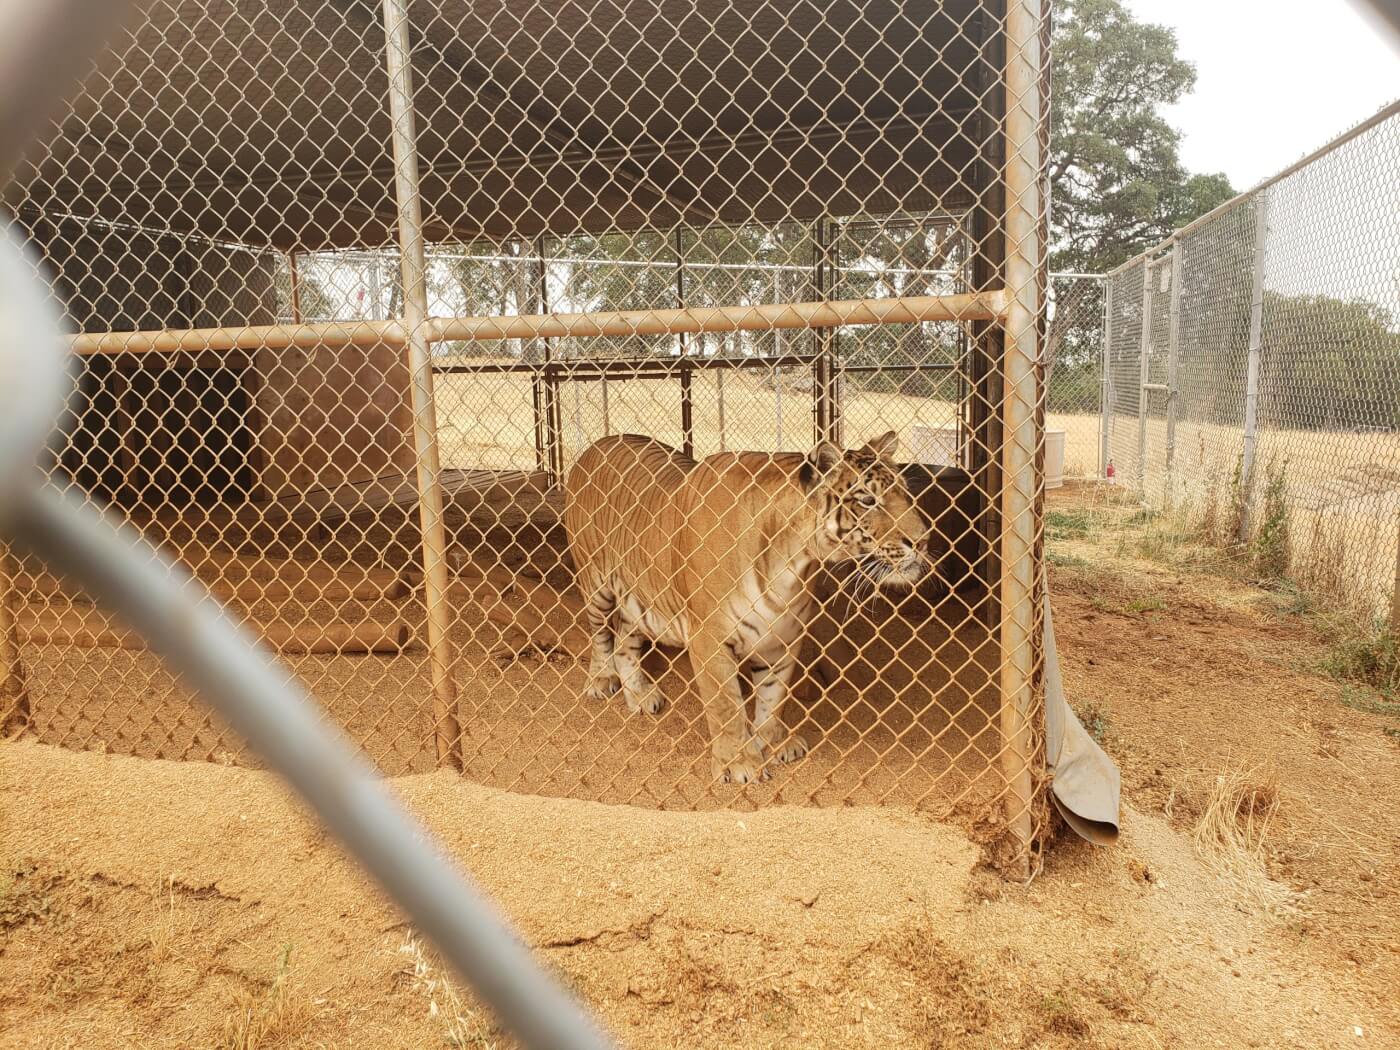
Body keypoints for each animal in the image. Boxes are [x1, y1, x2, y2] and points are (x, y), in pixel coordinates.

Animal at [557, 431, 929, 784]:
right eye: (868, 501)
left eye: (905, 494)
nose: (923, 541)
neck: (793, 562)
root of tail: (597, 444)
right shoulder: (709, 638)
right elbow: (726, 706)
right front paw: (738, 763)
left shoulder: (783, 637)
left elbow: (773, 697)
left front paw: (773, 743)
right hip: (596, 584)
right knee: (601, 634)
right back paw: (602, 679)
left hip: (638, 596)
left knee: (625, 637)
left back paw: (640, 695)